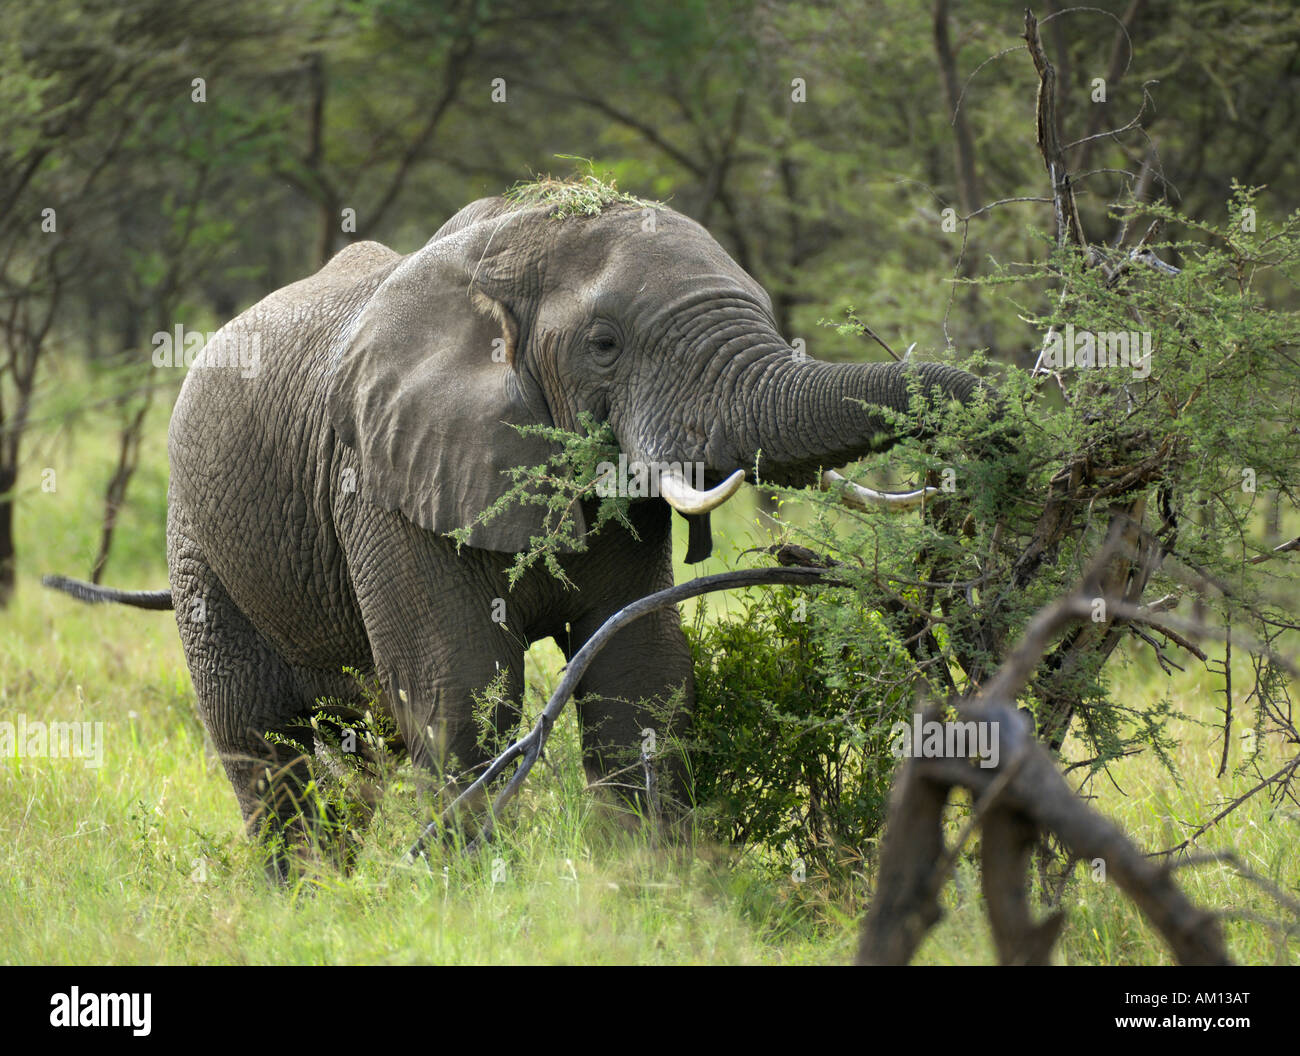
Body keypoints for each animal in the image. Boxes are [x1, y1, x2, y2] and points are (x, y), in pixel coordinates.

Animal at [43, 185, 993, 868]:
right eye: (605, 344)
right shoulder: (379, 481)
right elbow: (458, 686)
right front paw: (469, 893)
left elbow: (638, 674)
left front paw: (647, 887)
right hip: (200, 539)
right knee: (261, 741)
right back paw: (302, 896)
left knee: (353, 755)